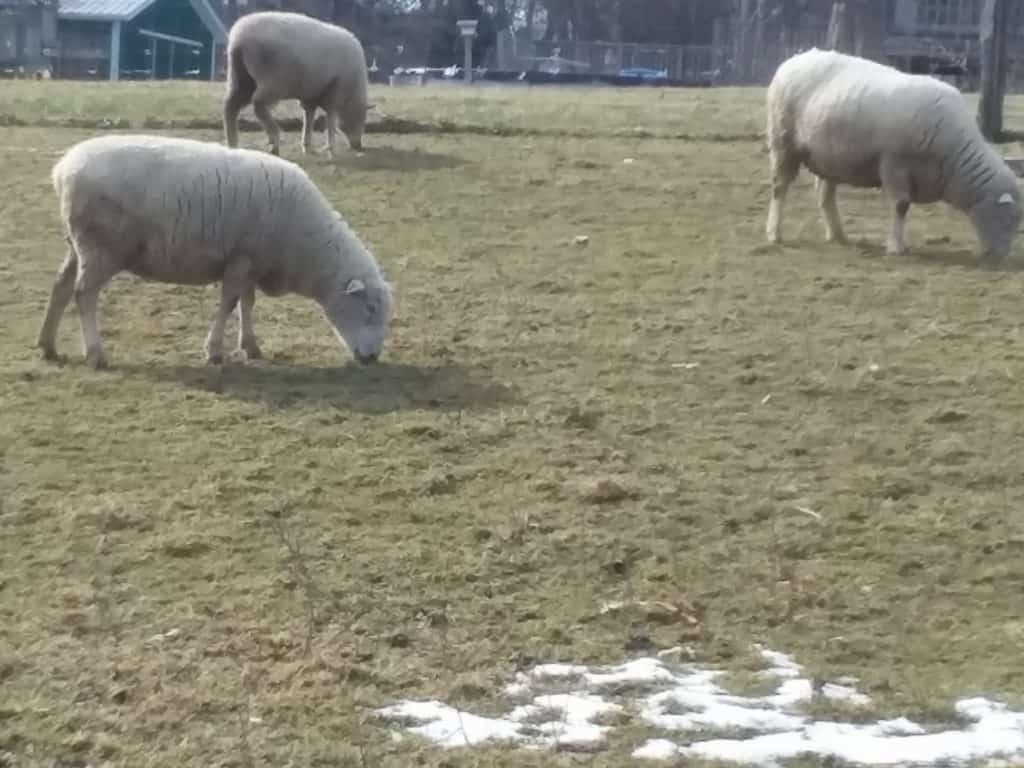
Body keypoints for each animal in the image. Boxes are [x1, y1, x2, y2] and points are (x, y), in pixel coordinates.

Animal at [37, 134, 395, 370]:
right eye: (370, 308)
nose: (373, 358)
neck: (306, 244)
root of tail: (61, 169)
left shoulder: (252, 262)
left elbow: (248, 303)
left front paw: (250, 346)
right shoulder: (241, 259)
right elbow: (230, 303)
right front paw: (214, 352)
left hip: (77, 244)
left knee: (61, 285)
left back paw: (48, 346)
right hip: (100, 248)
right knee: (84, 294)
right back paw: (96, 354)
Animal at [224, 11, 372, 157]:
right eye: (362, 120)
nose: (358, 146)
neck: (352, 93)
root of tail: (239, 39)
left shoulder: (311, 94)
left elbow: (309, 116)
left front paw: (307, 146)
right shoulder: (335, 91)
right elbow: (331, 118)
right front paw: (331, 147)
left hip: (241, 78)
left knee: (230, 107)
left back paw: (233, 143)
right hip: (271, 82)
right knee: (258, 104)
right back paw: (274, 140)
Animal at [765, 48, 1019, 264]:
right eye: (1008, 220)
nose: (1000, 258)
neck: (954, 158)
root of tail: (793, 60)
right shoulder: (894, 163)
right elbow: (901, 205)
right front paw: (896, 247)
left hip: (829, 156)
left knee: (824, 196)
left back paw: (837, 234)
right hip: (783, 142)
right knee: (779, 188)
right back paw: (774, 233)